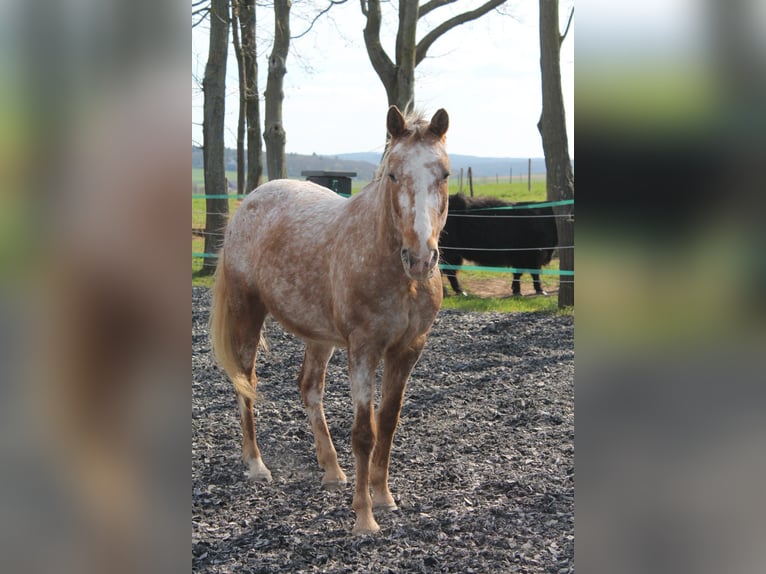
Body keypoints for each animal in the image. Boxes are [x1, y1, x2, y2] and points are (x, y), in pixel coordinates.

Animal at [209, 106, 450, 535]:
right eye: (392, 174)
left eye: (444, 174)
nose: (421, 258)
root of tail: (250, 202)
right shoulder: (364, 349)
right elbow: (364, 432)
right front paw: (364, 517)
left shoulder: (407, 349)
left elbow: (388, 421)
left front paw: (383, 497)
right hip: (247, 314)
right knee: (245, 382)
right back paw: (256, 465)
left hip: (319, 337)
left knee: (309, 387)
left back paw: (332, 469)